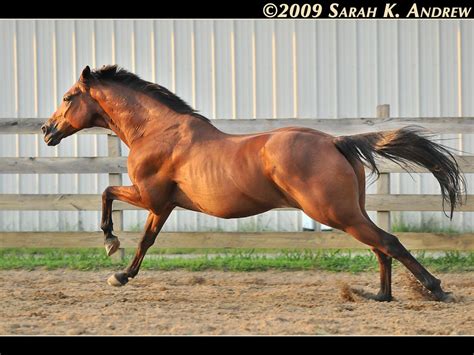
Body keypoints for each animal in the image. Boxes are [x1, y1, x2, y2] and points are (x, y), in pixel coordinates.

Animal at [42, 65, 464, 302]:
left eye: (68, 97)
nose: (47, 130)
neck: (158, 131)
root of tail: (335, 142)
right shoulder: (163, 206)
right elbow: (146, 240)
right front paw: (122, 275)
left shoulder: (150, 197)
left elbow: (107, 194)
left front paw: (111, 246)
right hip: (351, 212)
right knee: (380, 247)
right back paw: (380, 295)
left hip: (336, 212)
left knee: (388, 242)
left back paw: (435, 289)